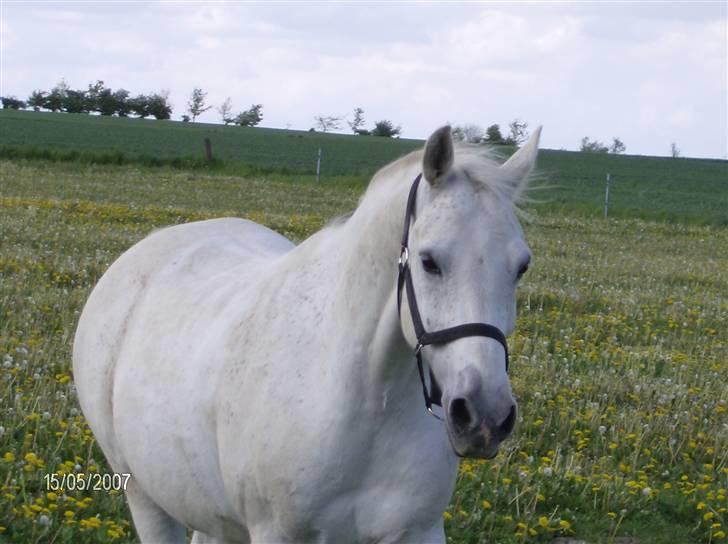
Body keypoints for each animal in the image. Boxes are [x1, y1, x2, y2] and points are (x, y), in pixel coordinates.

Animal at [74, 125, 540, 540]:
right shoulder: (276, 532)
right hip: (145, 498)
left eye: (522, 266)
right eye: (429, 261)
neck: (362, 401)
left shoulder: (418, 532)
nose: (484, 417)